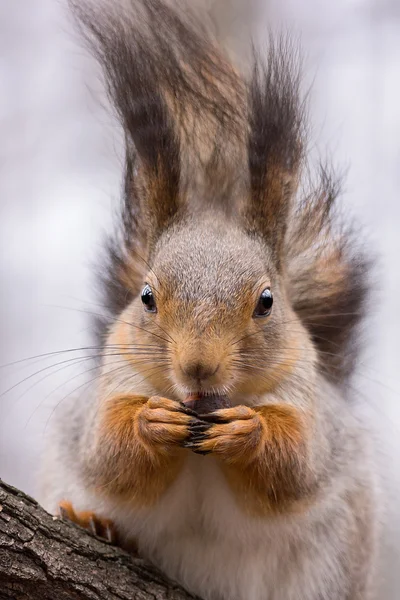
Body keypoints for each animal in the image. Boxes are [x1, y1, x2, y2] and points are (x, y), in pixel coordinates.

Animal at [40, 1, 382, 600]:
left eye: (267, 300)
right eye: (146, 297)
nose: (199, 366)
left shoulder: (307, 400)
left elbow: (293, 469)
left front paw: (249, 431)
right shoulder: (113, 382)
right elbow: (109, 456)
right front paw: (150, 422)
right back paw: (100, 526)